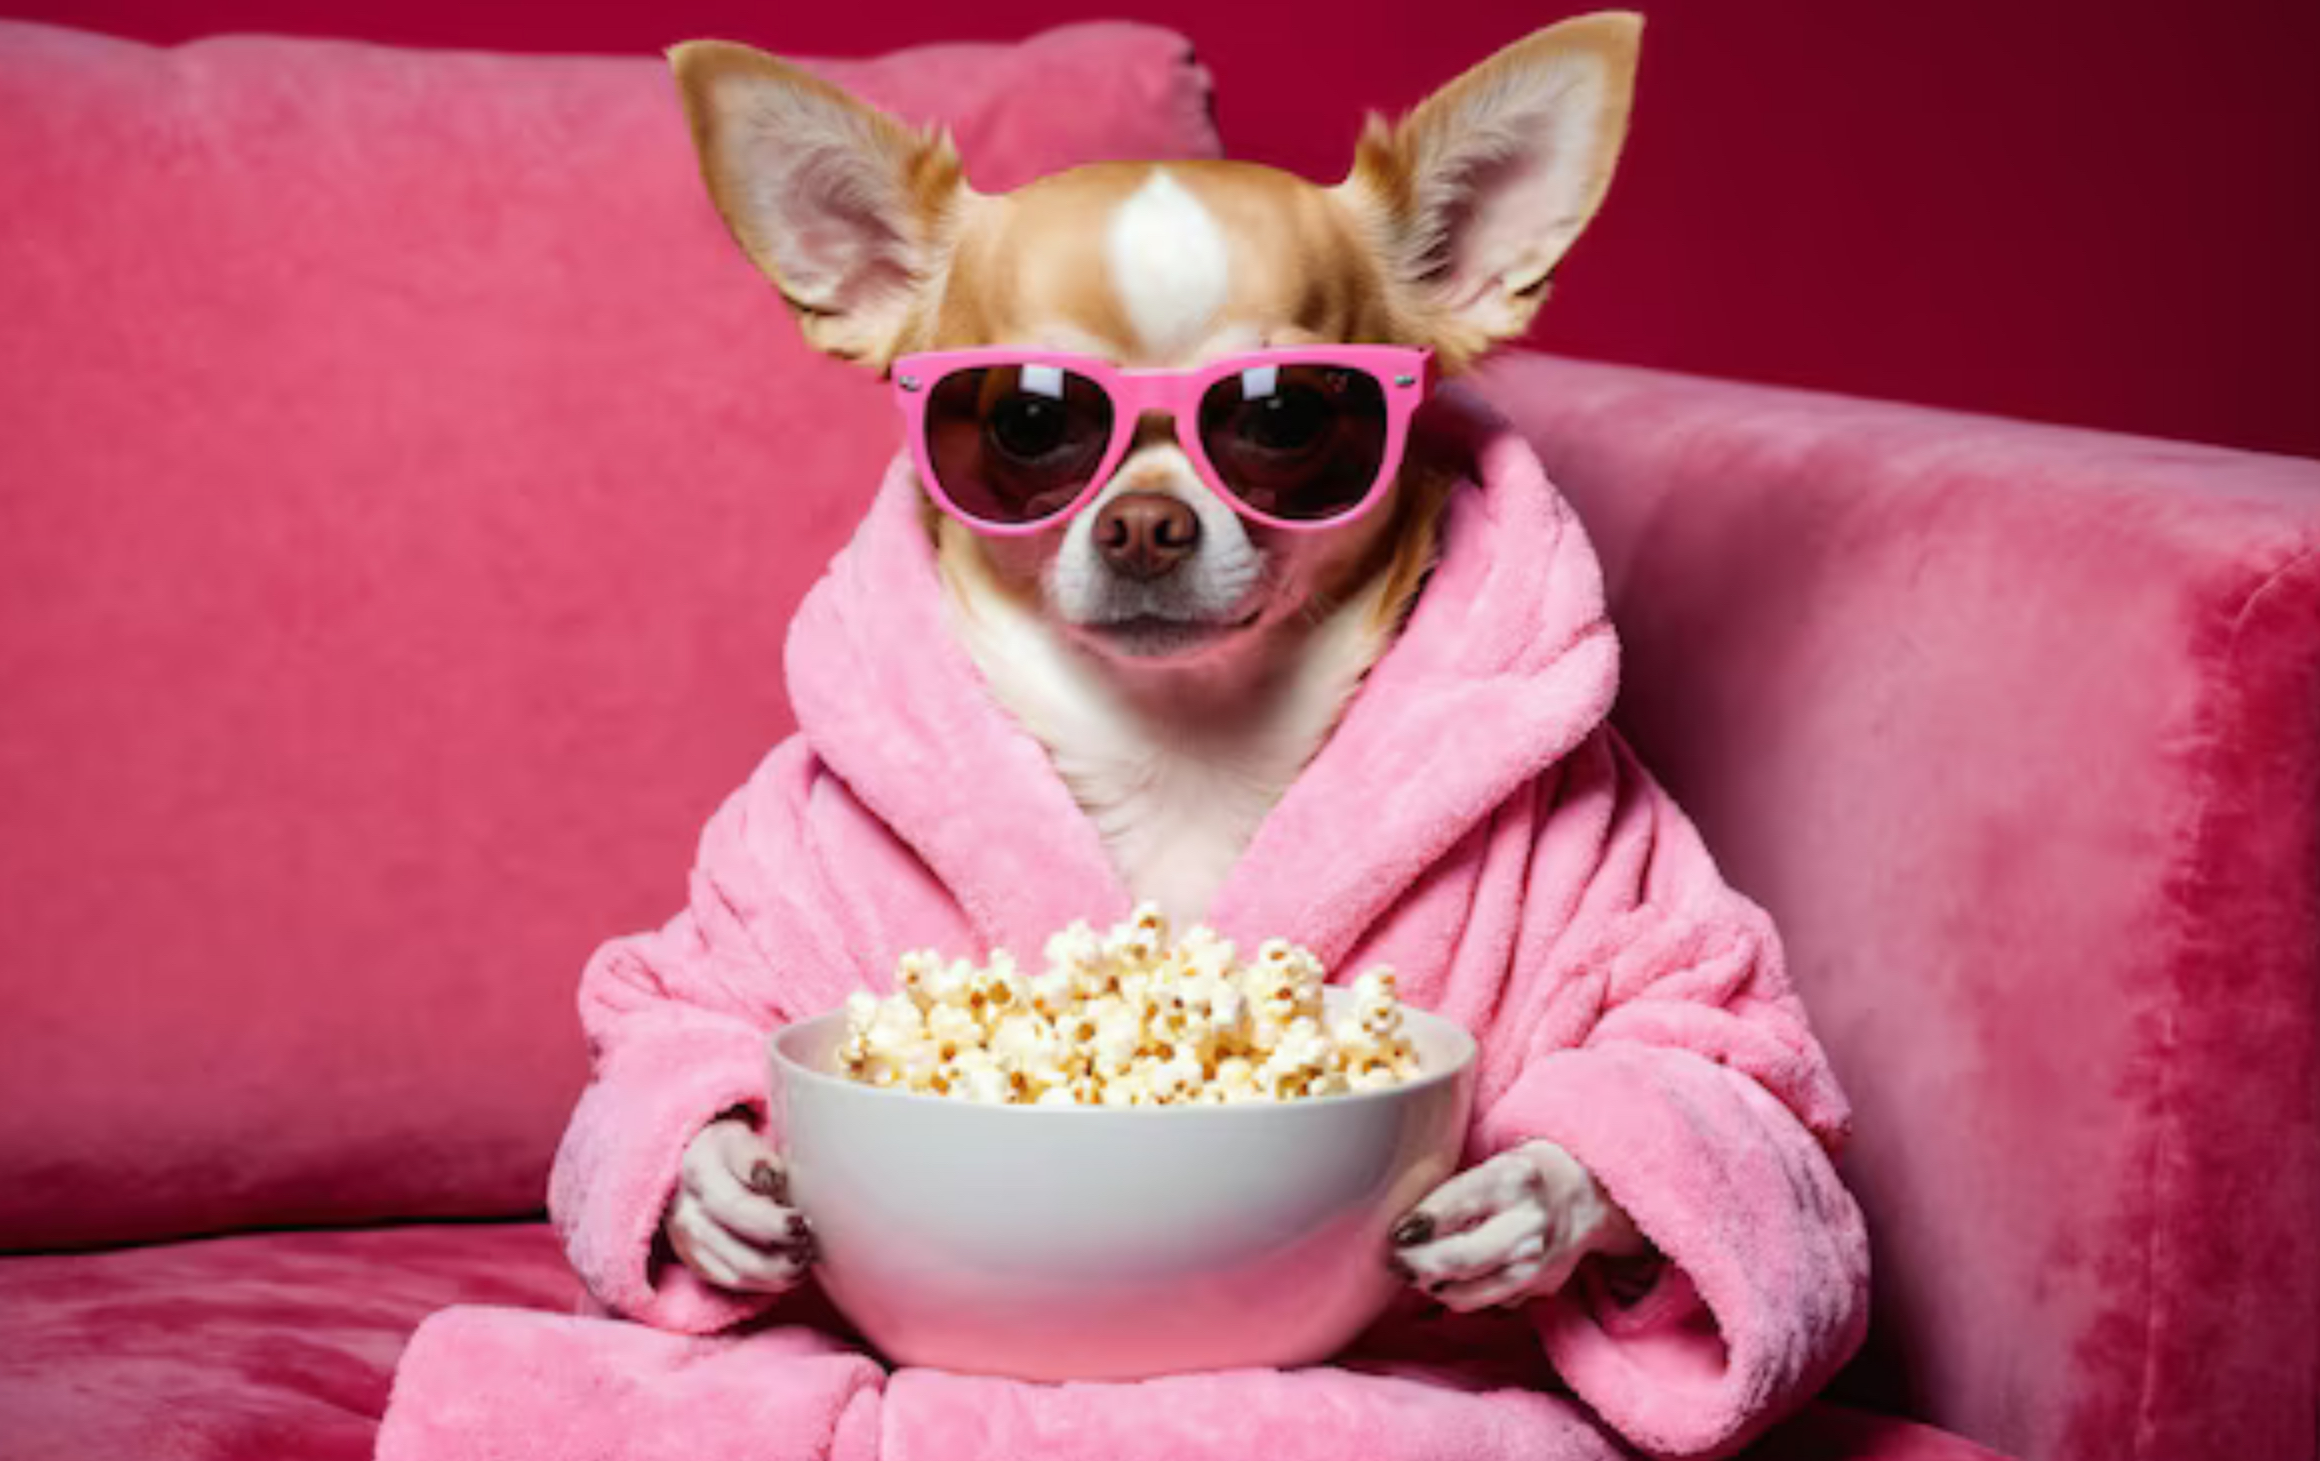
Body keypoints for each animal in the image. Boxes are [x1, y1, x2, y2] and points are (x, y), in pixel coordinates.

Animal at [654, 17, 1642, 1326]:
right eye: (1029, 422)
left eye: (1284, 420)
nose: (1143, 526)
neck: (1179, 740)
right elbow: (677, 1008)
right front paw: (719, 1186)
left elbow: (1690, 1051)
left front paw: (1523, 1201)